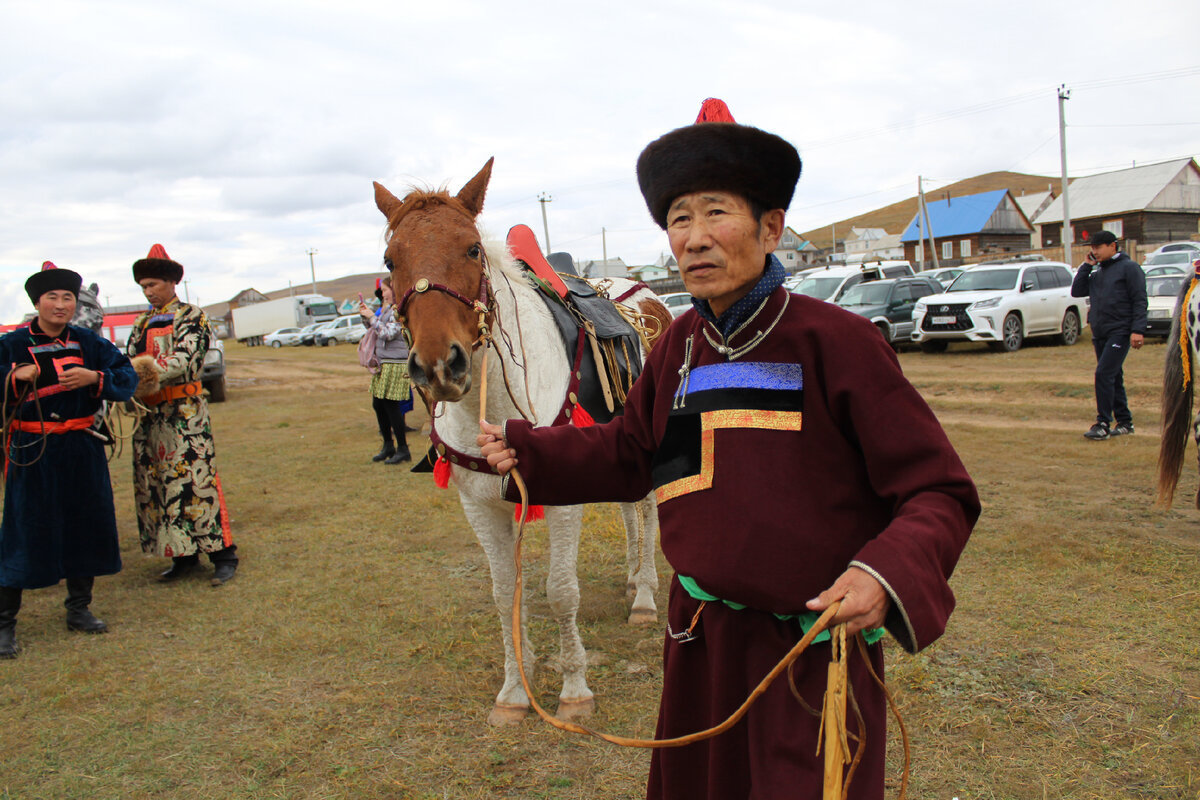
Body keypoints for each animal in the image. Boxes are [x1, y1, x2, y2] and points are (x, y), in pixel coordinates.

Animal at [374, 155, 676, 724]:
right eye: (389, 259)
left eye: (472, 248)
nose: (439, 366)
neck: (490, 403)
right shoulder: (480, 504)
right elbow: (503, 593)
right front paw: (516, 690)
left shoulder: (559, 501)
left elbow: (560, 592)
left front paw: (574, 690)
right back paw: (630, 577)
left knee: (646, 511)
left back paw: (645, 594)